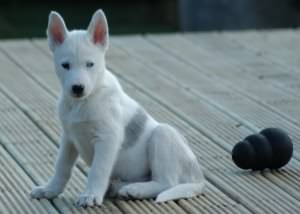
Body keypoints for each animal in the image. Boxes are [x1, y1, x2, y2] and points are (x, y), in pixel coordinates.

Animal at [29, 8, 204, 207]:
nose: (78, 88)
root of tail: (198, 177)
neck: (84, 101)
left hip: (163, 134)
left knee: (166, 182)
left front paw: (90, 195)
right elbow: (61, 167)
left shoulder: (107, 139)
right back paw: (119, 187)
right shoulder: (69, 138)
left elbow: (98, 170)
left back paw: (134, 190)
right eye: (65, 65)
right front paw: (50, 189)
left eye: (90, 64)